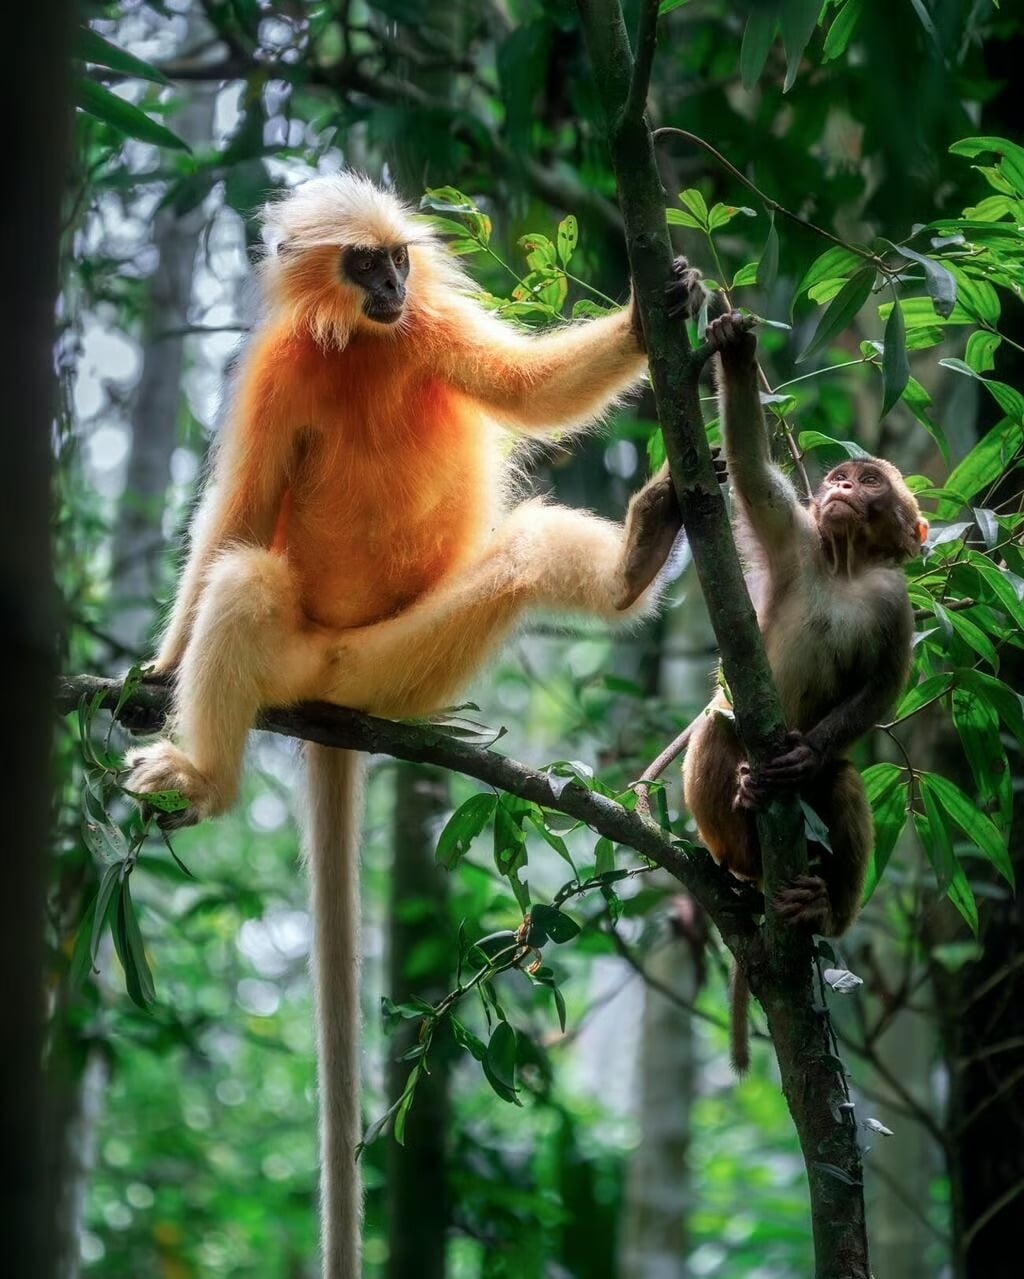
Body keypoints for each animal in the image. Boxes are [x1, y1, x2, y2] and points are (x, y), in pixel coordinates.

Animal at [123, 174, 705, 1279]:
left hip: (403, 661)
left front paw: (659, 308)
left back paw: (635, 563)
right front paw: (159, 668)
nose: (394, 286)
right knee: (248, 580)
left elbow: (525, 390)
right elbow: (238, 515)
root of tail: (343, 701)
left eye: (398, 261)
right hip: (321, 660)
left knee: (527, 550)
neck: (359, 346)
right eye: (363, 264)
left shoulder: (426, 328)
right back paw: (209, 778)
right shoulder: (277, 374)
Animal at [681, 309, 928, 1071]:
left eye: (869, 482)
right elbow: (753, 473)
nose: (842, 491)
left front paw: (804, 753)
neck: (845, 568)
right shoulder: (794, 538)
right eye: (840, 477)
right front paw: (732, 347)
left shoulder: (895, 600)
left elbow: (883, 686)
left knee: (843, 784)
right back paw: (743, 821)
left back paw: (822, 905)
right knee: (718, 725)